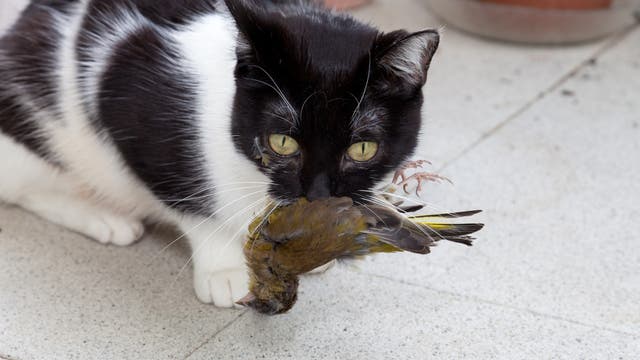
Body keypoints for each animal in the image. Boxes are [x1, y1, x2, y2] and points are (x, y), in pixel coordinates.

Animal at [0, 0, 440, 310]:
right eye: (282, 142)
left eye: (362, 148)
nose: (318, 196)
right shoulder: (125, 92)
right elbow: (189, 198)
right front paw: (224, 268)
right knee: (24, 187)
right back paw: (104, 217)